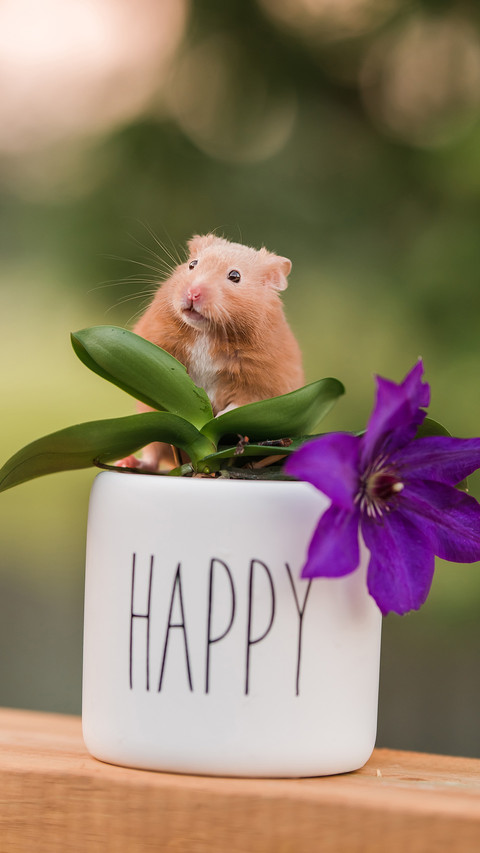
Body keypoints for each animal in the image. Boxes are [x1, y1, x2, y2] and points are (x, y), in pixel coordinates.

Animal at [122, 234, 305, 470]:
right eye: (192, 264)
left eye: (235, 276)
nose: (192, 293)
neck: (208, 332)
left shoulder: (261, 384)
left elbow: (237, 406)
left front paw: (214, 419)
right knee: (153, 456)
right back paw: (127, 462)